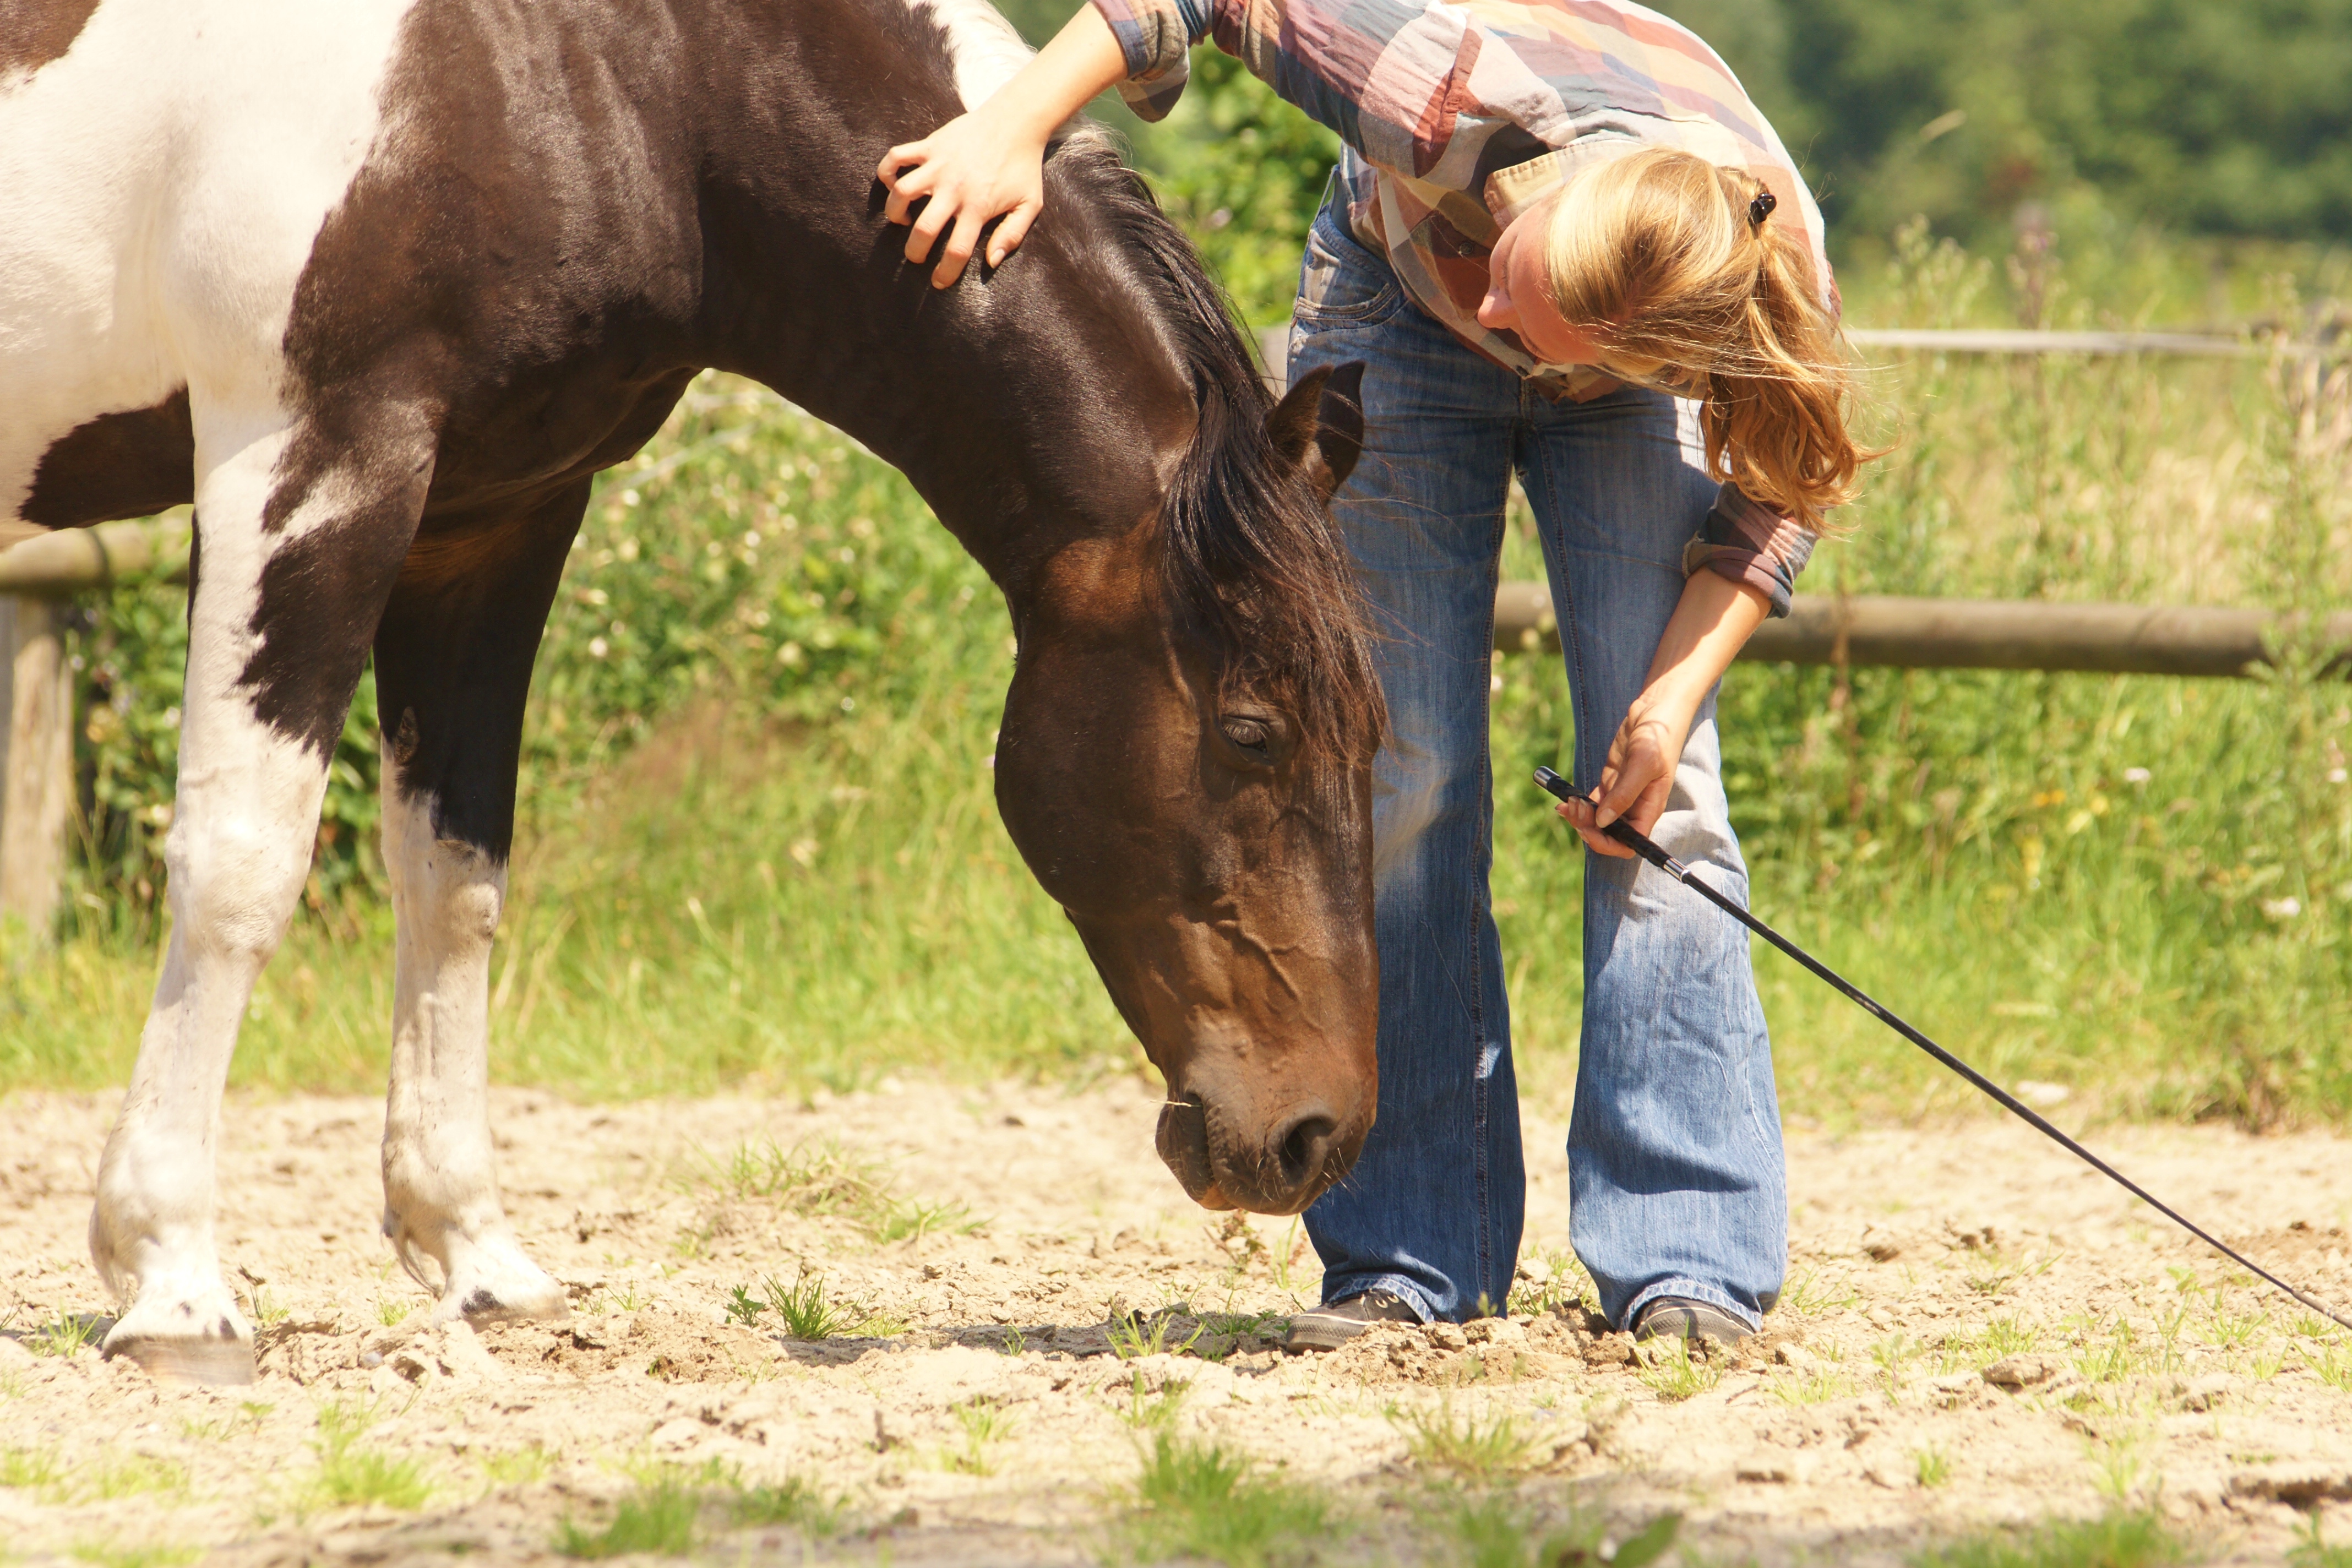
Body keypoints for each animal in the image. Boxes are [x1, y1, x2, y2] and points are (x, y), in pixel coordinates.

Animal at [0, 0, 1385, 1385]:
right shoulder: (306, 464)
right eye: (1252, 731)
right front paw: (173, 1281)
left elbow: (455, 879)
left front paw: (476, 1259)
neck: (617, 81)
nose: (1318, 1133)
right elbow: (239, 863)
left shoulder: (494, 515)